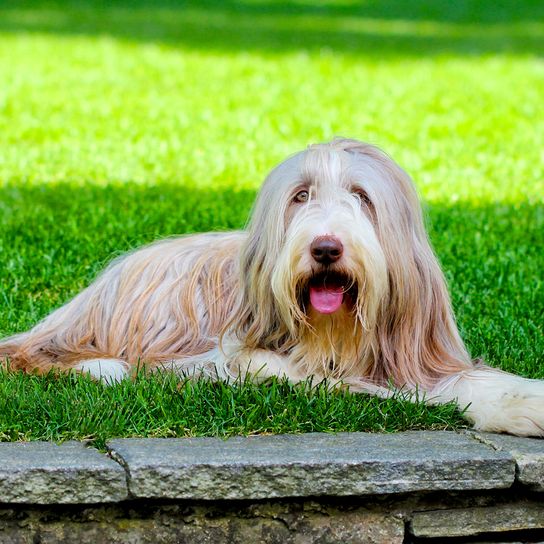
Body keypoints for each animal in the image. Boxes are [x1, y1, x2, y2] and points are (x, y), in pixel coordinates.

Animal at [1, 140, 544, 438]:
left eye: (361, 196)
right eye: (301, 196)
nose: (325, 248)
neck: (336, 333)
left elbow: (461, 378)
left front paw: (520, 399)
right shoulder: (241, 357)